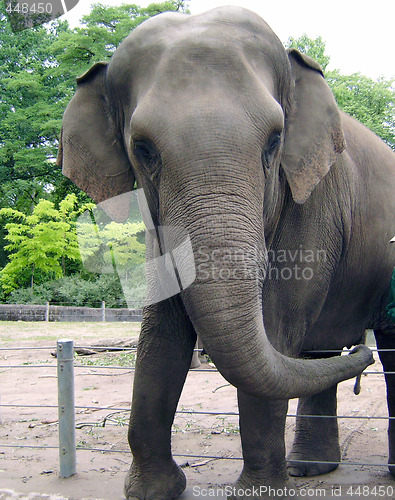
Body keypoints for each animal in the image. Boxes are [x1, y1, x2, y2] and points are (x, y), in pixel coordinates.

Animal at [56, 4, 395, 500]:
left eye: (274, 141)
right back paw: (308, 469)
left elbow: (275, 327)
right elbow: (161, 333)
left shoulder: (313, 203)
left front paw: (258, 492)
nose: (360, 355)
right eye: (143, 149)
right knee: (318, 354)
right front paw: (154, 492)